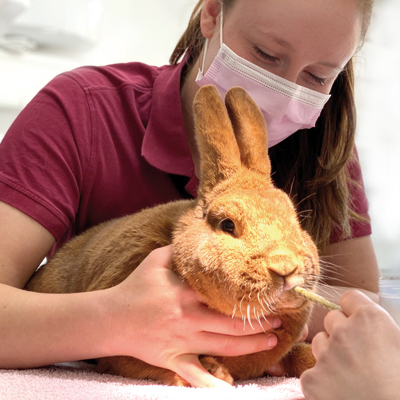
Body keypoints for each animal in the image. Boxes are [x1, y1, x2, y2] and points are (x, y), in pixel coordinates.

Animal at [24, 85, 318, 388]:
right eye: (227, 225)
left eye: (295, 219)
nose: (285, 268)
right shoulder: (122, 353)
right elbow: (155, 365)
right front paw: (213, 372)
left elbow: (299, 356)